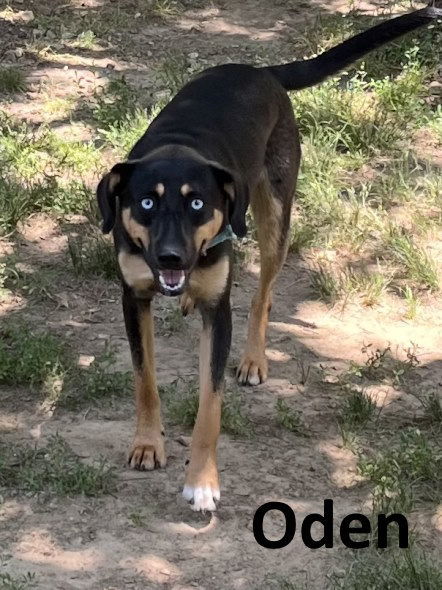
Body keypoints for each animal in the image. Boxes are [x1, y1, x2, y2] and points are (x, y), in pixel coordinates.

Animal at [98, 3, 440, 512]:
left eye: (197, 203)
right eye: (145, 203)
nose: (172, 256)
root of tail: (260, 72)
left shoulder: (219, 315)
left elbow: (210, 404)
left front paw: (202, 480)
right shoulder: (133, 298)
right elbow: (145, 381)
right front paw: (146, 444)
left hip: (275, 214)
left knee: (262, 295)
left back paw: (254, 358)